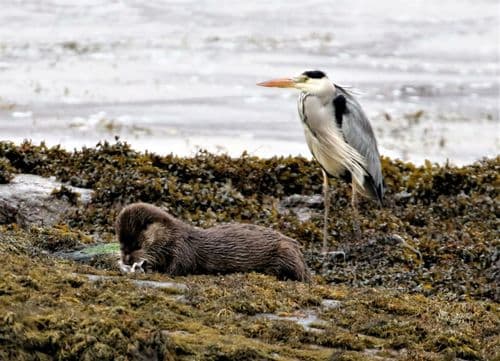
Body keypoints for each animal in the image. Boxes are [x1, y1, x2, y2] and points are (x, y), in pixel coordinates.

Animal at [116, 201, 308, 280]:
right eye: (121, 245)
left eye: (137, 245)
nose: (126, 259)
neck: (172, 238)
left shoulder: (183, 250)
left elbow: (178, 269)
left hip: (286, 252)